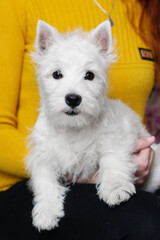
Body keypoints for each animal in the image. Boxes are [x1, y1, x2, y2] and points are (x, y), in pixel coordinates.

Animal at [25, 20, 160, 231]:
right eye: (57, 74)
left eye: (89, 75)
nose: (73, 99)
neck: (74, 127)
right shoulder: (43, 156)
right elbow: (45, 183)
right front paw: (46, 212)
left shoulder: (116, 139)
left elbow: (112, 161)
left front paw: (115, 189)